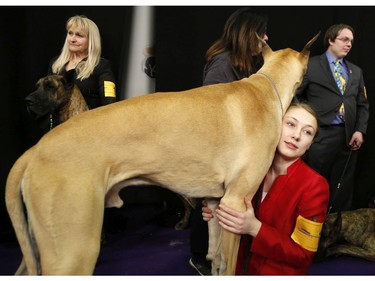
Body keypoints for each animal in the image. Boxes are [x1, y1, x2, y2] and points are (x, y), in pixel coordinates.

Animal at [5, 33, 318, 274]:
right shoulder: (236, 205)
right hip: (74, 251)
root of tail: (35, 150)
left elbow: (216, 259)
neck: (266, 87)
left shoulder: (216, 203)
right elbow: (229, 266)